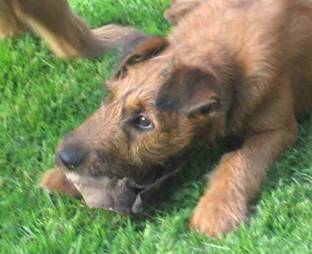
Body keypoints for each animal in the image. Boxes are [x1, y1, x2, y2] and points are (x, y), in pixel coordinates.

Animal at [40, 0, 312, 238]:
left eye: (144, 121)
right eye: (110, 96)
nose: (65, 157)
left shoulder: (277, 130)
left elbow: (239, 161)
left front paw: (216, 210)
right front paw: (60, 178)